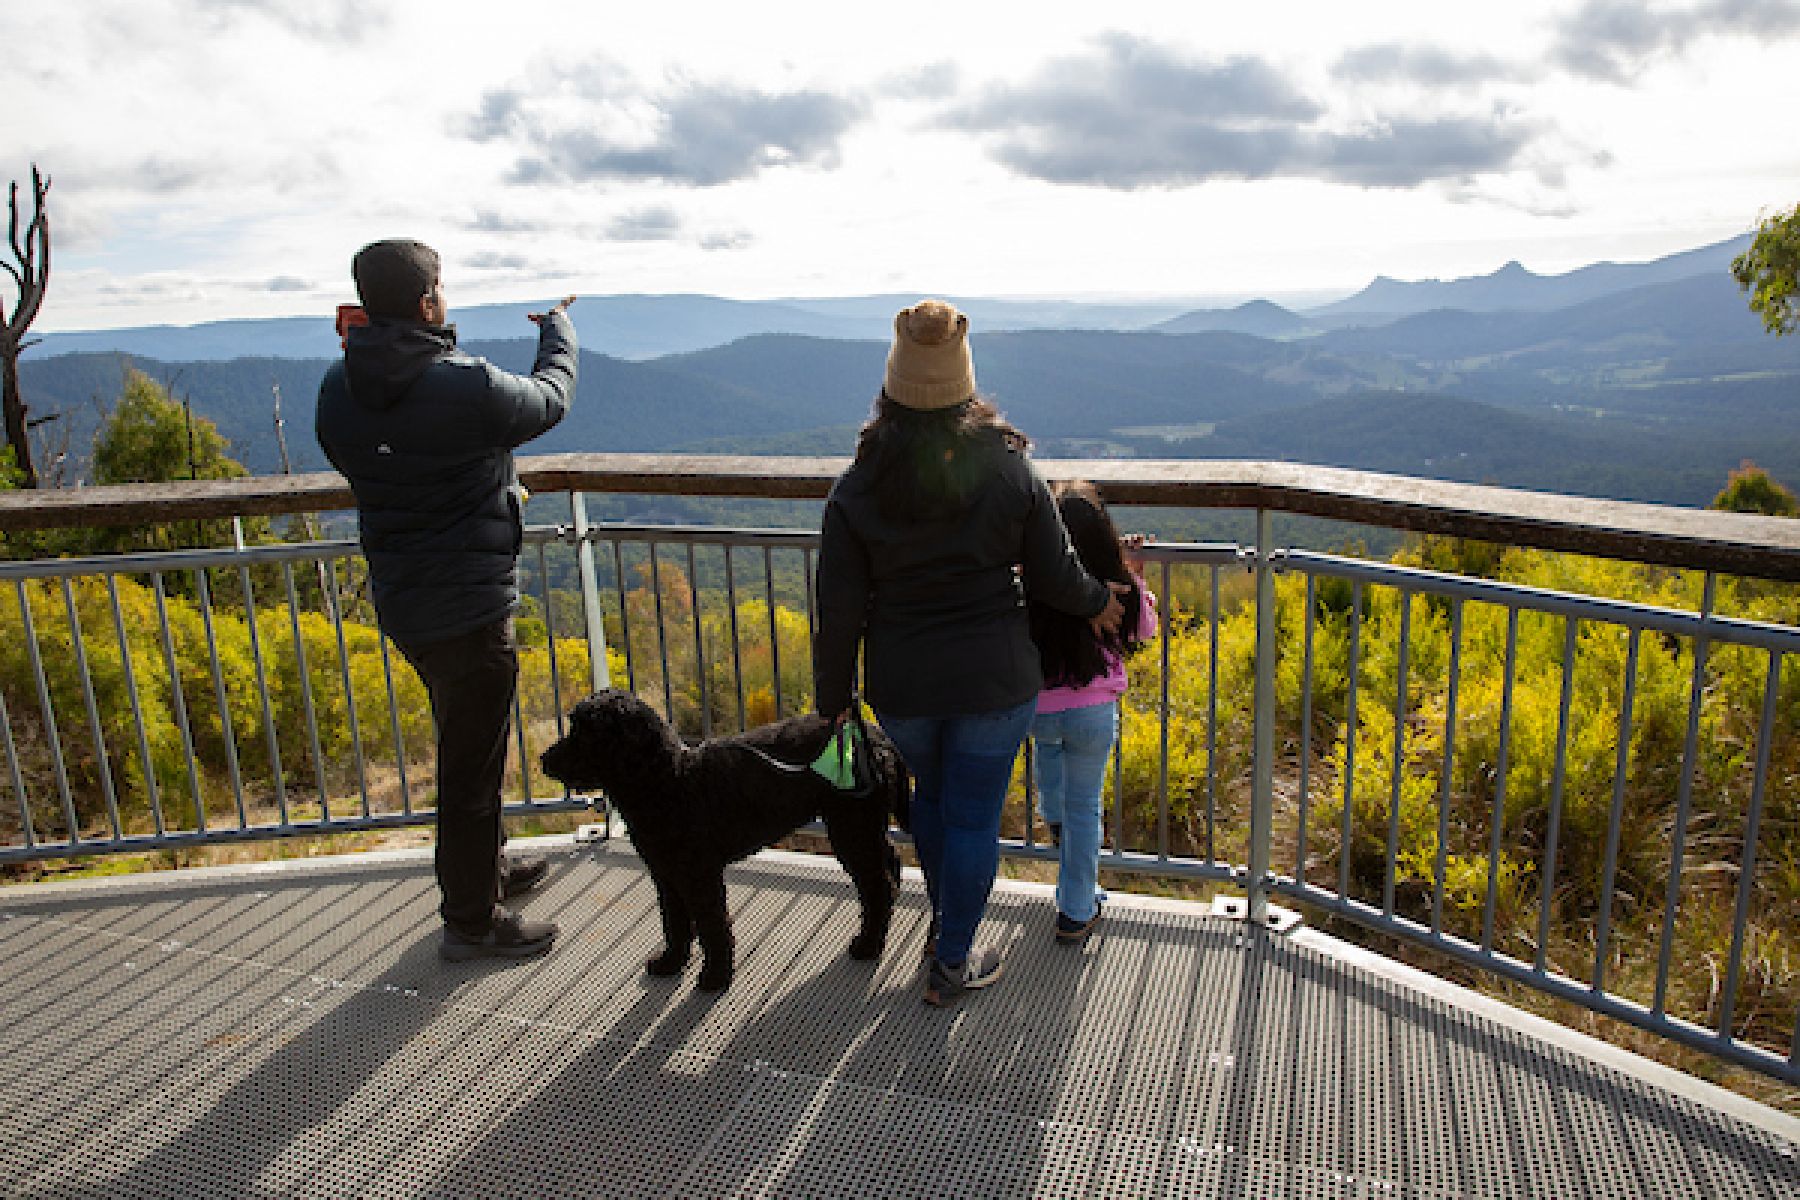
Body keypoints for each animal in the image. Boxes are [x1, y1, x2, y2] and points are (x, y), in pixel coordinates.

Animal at [536, 690, 907, 993]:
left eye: (586, 731)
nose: (544, 760)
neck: (666, 781)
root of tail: (877, 739)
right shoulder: (665, 873)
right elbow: (674, 921)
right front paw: (671, 962)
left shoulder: (699, 874)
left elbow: (712, 925)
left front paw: (715, 977)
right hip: (862, 824)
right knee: (889, 864)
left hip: (851, 825)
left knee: (877, 885)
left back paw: (868, 945)